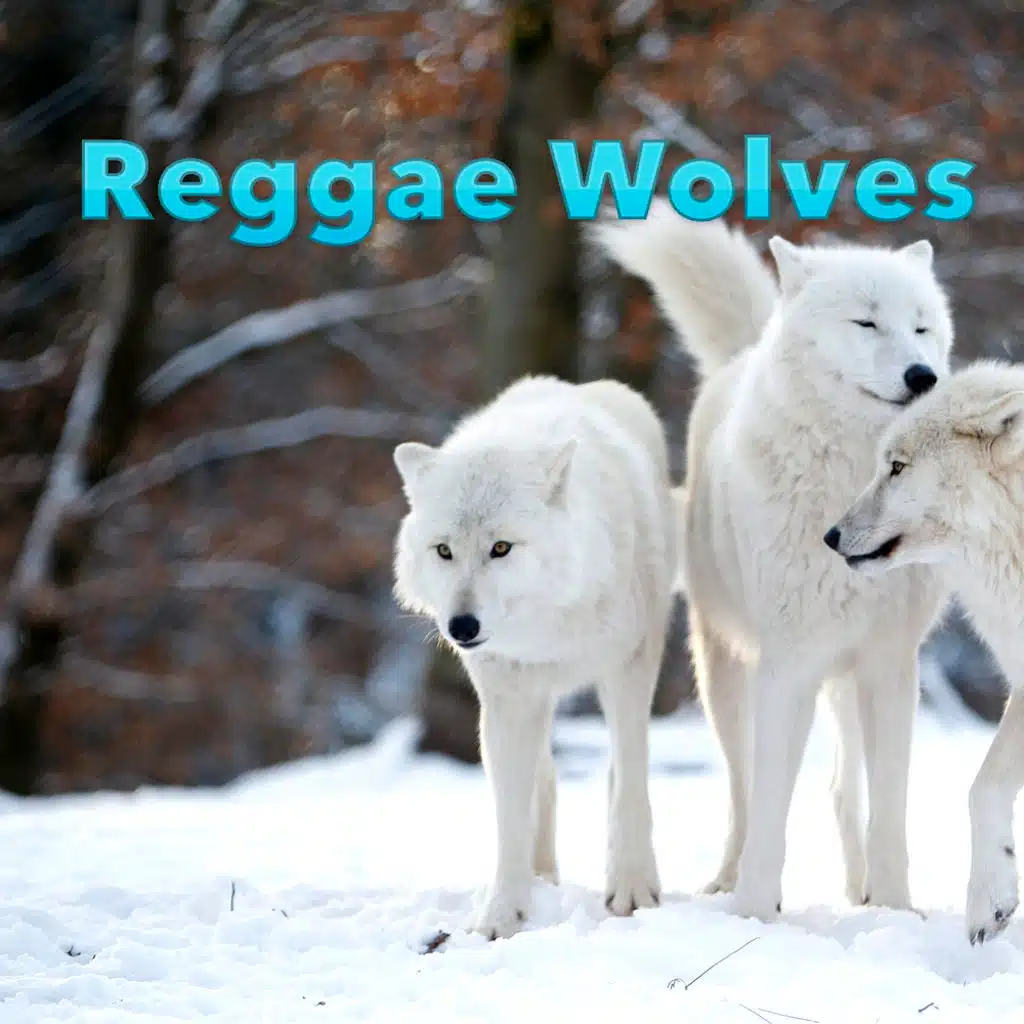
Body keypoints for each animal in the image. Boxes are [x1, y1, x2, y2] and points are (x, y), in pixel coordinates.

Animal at [392, 374, 676, 939]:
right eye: (444, 551)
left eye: (501, 548)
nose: (462, 627)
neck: (548, 627)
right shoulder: (505, 699)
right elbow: (510, 816)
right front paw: (503, 914)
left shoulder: (629, 668)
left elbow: (630, 785)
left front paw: (633, 890)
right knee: (544, 781)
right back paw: (542, 878)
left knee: (614, 773)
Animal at [591, 199, 954, 921]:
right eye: (867, 322)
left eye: (922, 327)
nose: (922, 377)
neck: (850, 488)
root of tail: (743, 353)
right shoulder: (789, 663)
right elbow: (768, 807)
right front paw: (755, 913)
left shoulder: (890, 666)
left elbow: (890, 813)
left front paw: (895, 912)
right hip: (726, 674)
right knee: (742, 787)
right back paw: (728, 881)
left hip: (843, 683)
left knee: (843, 788)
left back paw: (860, 889)